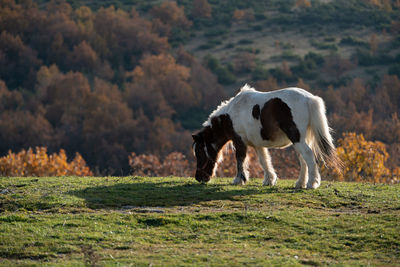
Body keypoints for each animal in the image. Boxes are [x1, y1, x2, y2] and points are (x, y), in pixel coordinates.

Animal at [193, 85, 340, 189]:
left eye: (199, 153)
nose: (199, 178)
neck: (229, 116)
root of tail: (309, 99)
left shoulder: (239, 141)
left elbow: (240, 160)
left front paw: (238, 180)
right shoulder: (258, 145)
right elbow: (264, 160)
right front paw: (269, 180)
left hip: (297, 138)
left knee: (308, 156)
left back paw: (312, 183)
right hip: (301, 140)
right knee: (303, 159)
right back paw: (300, 183)